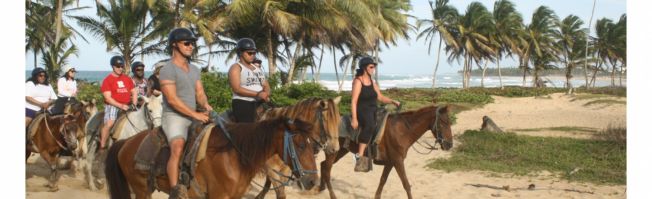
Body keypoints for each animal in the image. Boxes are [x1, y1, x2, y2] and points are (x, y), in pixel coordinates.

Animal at [104, 117, 320, 198]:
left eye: (313, 146)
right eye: (301, 145)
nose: (312, 181)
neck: (233, 156)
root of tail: (126, 142)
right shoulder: (218, 196)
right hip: (141, 190)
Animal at [318, 105, 450, 198]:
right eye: (442, 123)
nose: (449, 145)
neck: (403, 131)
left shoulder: (390, 162)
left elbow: (383, 180)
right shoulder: (398, 161)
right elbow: (406, 184)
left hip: (341, 151)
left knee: (323, 165)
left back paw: (320, 188)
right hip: (333, 152)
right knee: (327, 170)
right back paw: (332, 195)